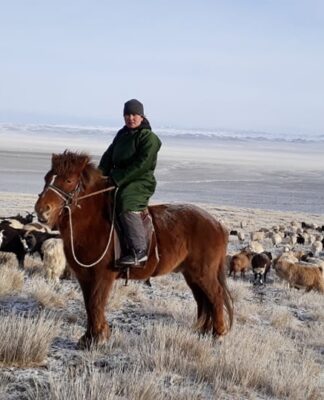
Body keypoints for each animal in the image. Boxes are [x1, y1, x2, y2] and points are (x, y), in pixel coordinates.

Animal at [34, 150, 233, 346]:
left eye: (68, 180)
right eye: (47, 178)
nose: (42, 210)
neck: (93, 223)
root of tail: (218, 225)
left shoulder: (102, 275)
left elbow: (96, 303)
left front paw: (97, 338)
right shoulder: (85, 276)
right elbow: (89, 304)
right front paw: (90, 337)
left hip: (204, 273)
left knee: (215, 295)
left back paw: (218, 334)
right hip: (191, 274)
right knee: (203, 299)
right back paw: (204, 332)